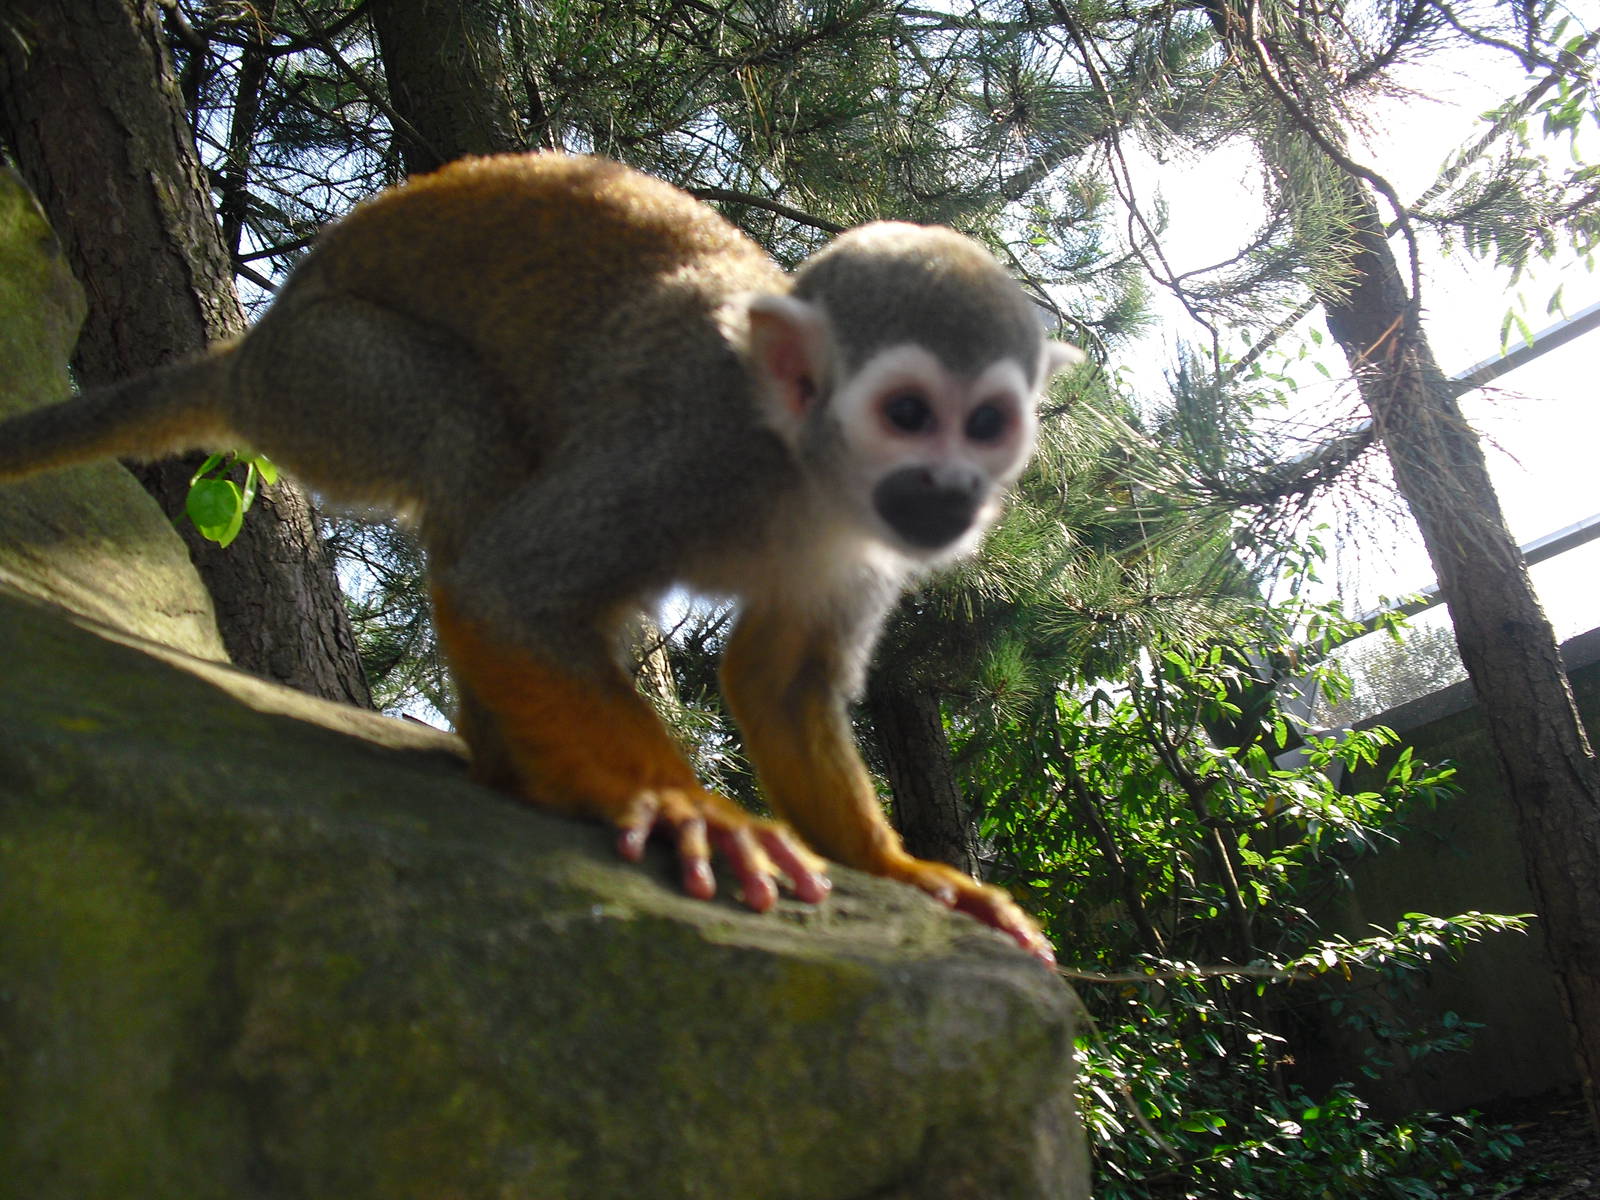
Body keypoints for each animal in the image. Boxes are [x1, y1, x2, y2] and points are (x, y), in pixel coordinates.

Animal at [0, 153, 1081, 965]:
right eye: (908, 413)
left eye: (987, 424)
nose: (951, 490)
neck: (800, 468)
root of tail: (251, 353)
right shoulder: (686, 446)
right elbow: (505, 592)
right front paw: (685, 808)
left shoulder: (864, 546)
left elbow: (778, 681)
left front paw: (907, 875)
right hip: (326, 381)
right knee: (461, 423)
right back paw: (516, 762)